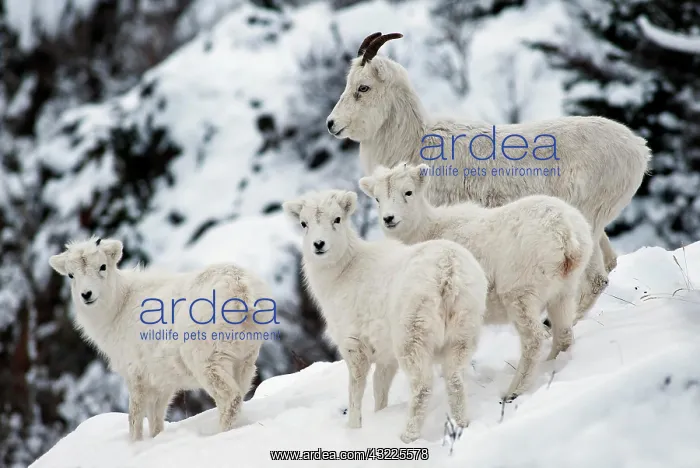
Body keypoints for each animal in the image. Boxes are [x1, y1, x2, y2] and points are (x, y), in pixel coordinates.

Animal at [49, 237, 272, 441]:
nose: (87, 294)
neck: (119, 307)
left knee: (229, 399)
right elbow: (156, 421)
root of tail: (240, 288)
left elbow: (135, 418)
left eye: (102, 266)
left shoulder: (136, 377)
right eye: (71, 275)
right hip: (244, 360)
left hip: (207, 362)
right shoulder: (161, 384)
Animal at [282, 189, 488, 443]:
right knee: (455, 379)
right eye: (304, 223)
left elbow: (356, 390)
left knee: (422, 387)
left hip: (413, 337)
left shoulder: (354, 346)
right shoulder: (385, 355)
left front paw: (354, 429)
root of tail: (448, 271)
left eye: (337, 219)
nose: (318, 245)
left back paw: (407, 436)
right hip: (463, 332)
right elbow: (380, 389)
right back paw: (461, 425)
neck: (342, 273)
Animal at [326, 32, 652, 324]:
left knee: (595, 279)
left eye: (363, 87)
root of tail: (639, 149)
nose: (332, 124)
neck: (415, 143)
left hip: (590, 221)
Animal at [358, 163, 595, 401]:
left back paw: (513, 392)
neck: (427, 229)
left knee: (534, 340)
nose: (389, 218)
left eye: (408, 192)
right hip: (563, 291)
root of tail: (565, 233)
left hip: (521, 293)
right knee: (563, 334)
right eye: (377, 198)